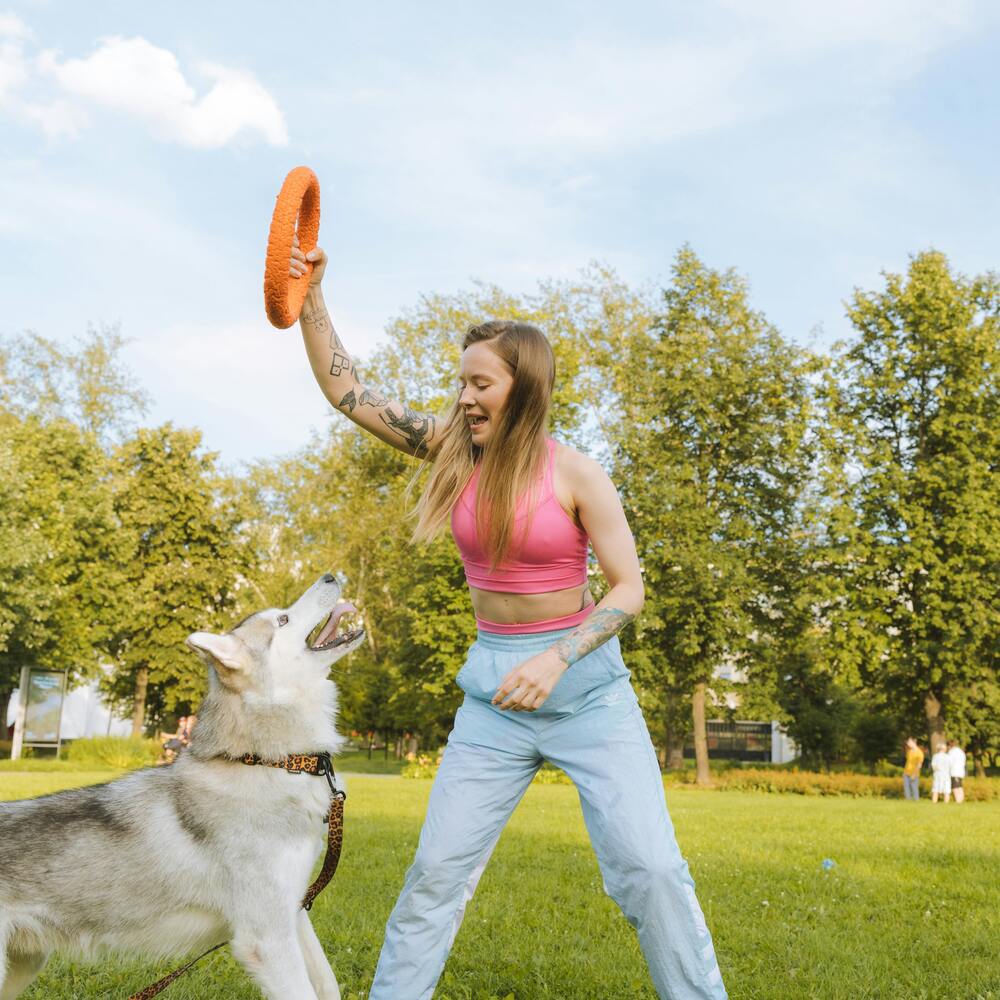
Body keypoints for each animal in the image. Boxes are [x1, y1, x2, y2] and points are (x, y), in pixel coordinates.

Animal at [0, 572, 364, 1000]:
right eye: (283, 620)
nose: (329, 575)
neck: (267, 761)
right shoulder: (267, 936)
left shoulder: (292, 912)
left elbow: (327, 982)